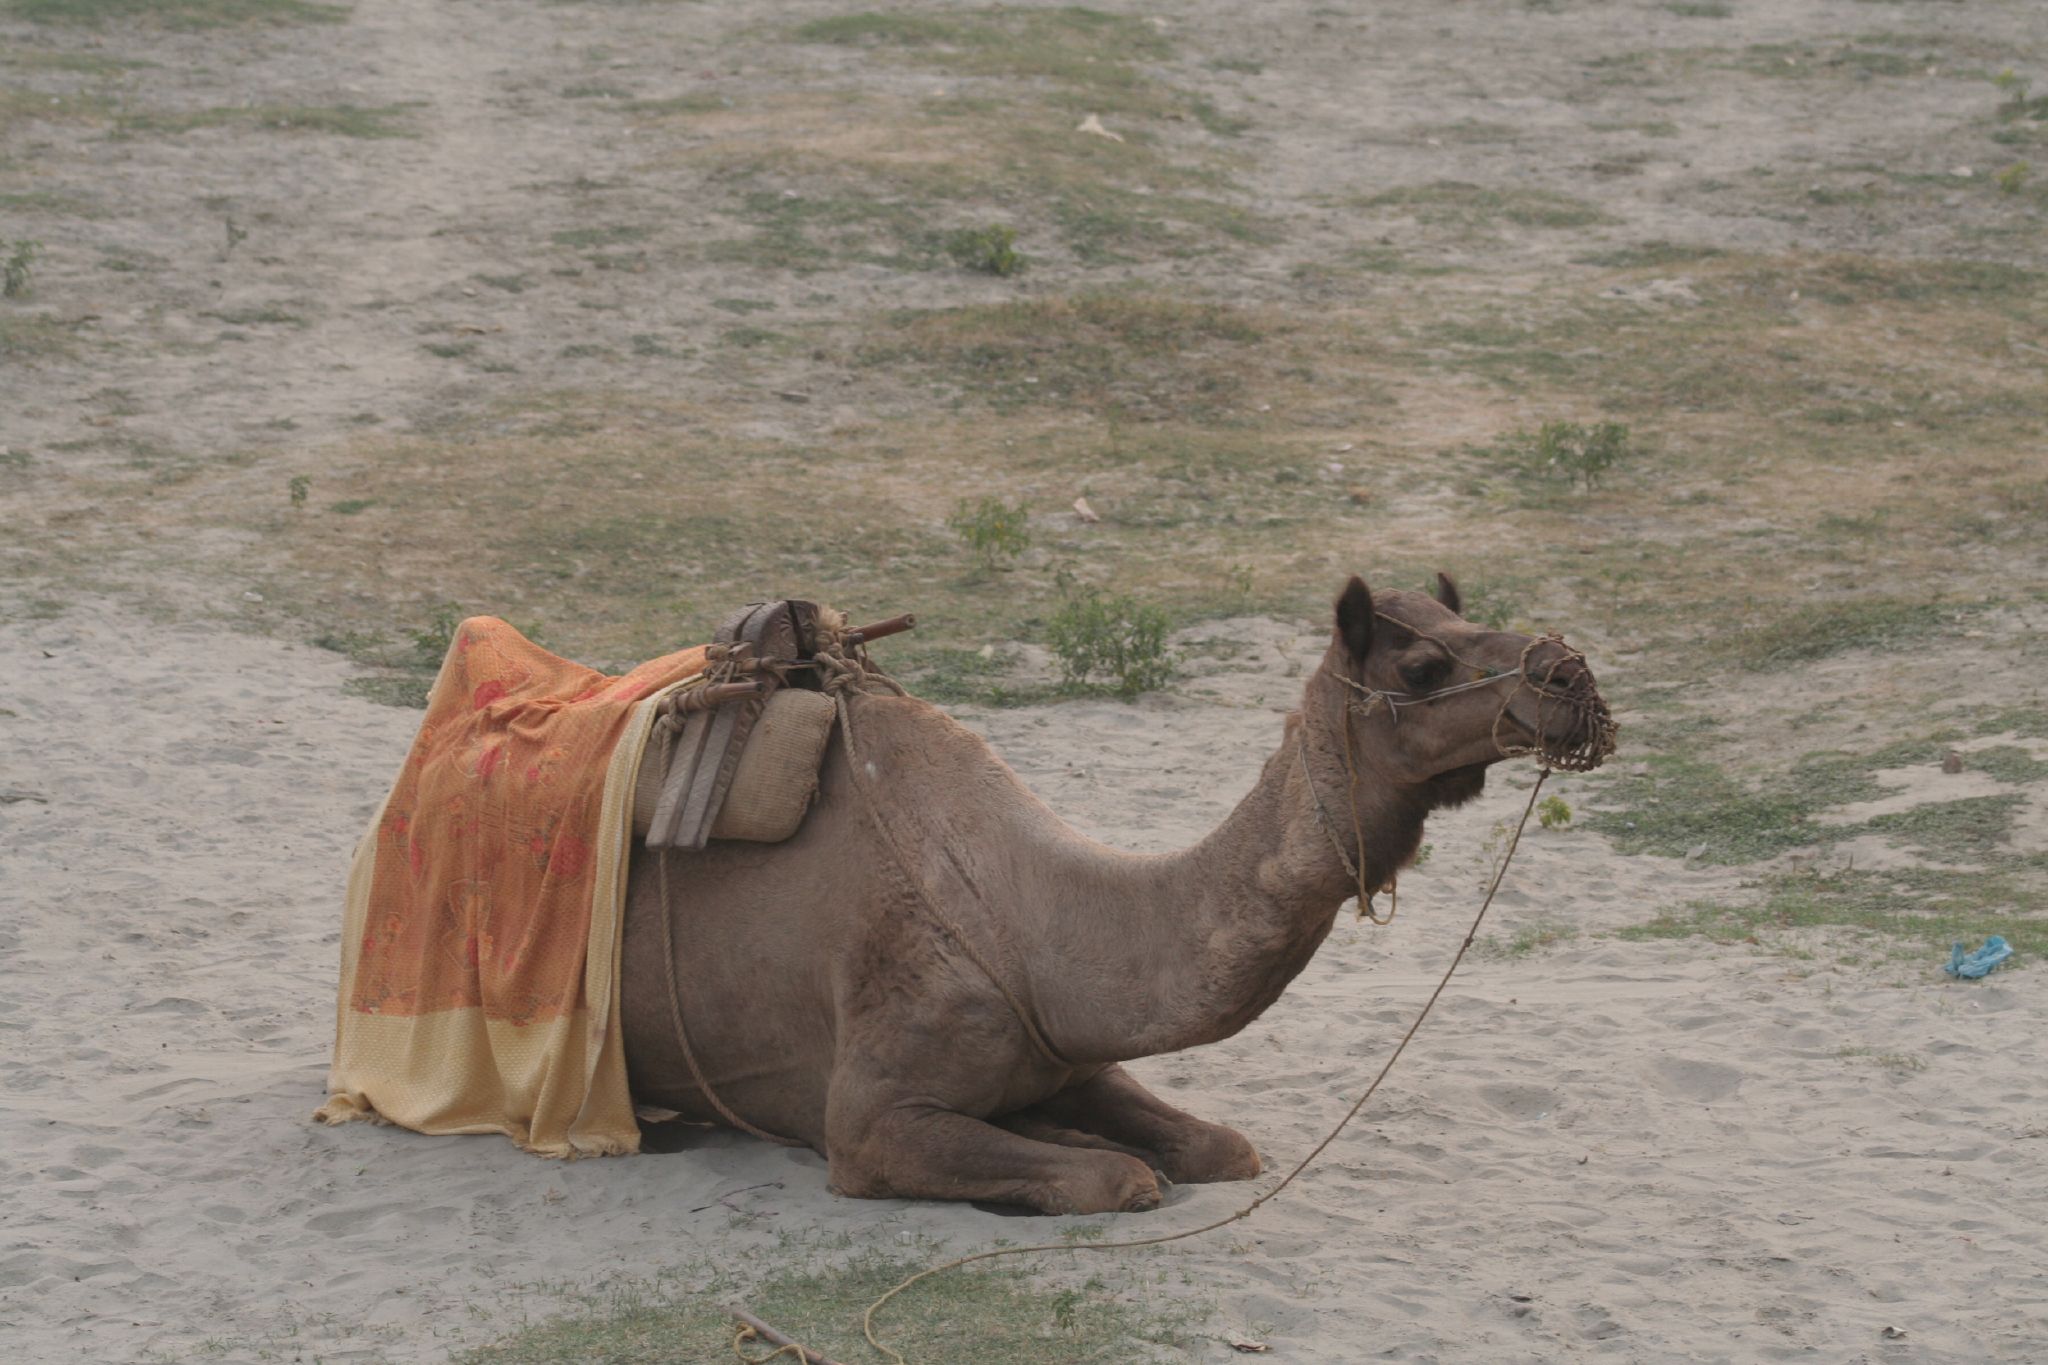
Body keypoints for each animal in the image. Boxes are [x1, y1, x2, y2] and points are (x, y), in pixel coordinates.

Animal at [614, 573, 1605, 1211]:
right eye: (1423, 667)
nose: (1569, 674)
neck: (1019, 912)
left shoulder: (1073, 1050)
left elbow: (1224, 1145)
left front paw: (1093, 1134)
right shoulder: (869, 1120)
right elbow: (1118, 1179)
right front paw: (1096, 1158)